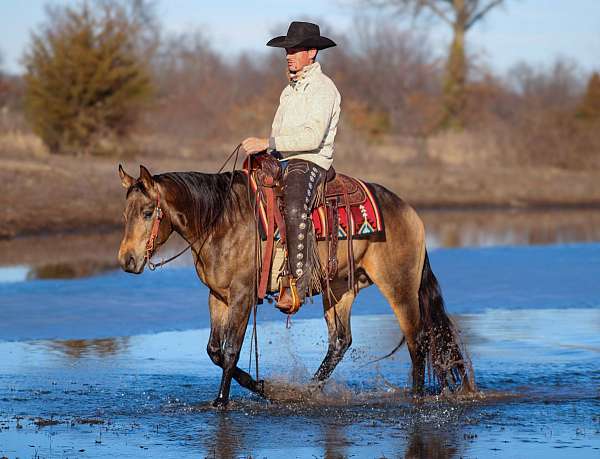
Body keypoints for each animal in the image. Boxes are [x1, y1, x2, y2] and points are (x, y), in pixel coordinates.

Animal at [117, 164, 474, 408]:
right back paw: (306, 391)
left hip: (399, 287)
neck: (221, 222)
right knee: (340, 341)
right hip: (339, 289)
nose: (127, 260)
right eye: (125, 214)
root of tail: (409, 212)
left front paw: (221, 402)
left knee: (417, 341)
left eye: (147, 212)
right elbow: (214, 351)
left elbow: (230, 351)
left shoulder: (243, 296)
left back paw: (416, 397)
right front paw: (265, 388)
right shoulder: (217, 297)